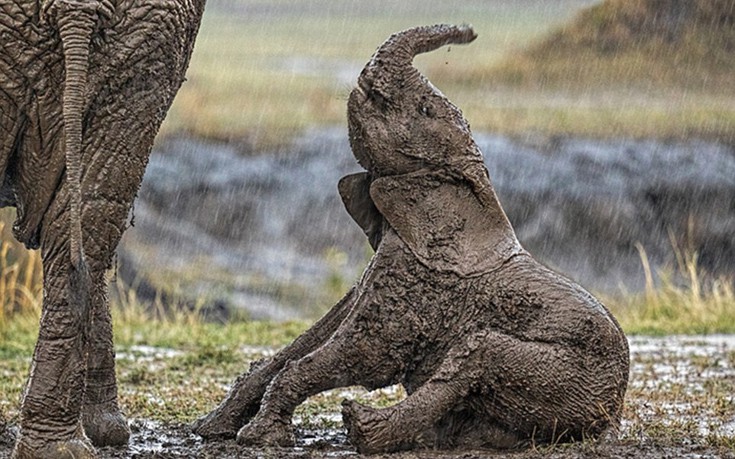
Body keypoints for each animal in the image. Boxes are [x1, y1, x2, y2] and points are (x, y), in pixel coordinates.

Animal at [1, 1, 207, 458]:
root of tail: (76, 7)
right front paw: (107, 432)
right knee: (92, 212)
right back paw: (67, 445)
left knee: (86, 213)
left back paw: (60, 447)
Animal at [193, 24, 628, 452]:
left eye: (424, 110)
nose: (470, 33)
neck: (472, 190)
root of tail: (611, 416)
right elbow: (314, 336)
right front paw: (211, 428)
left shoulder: (421, 285)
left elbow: (368, 352)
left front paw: (259, 437)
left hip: (562, 373)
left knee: (481, 352)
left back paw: (362, 427)